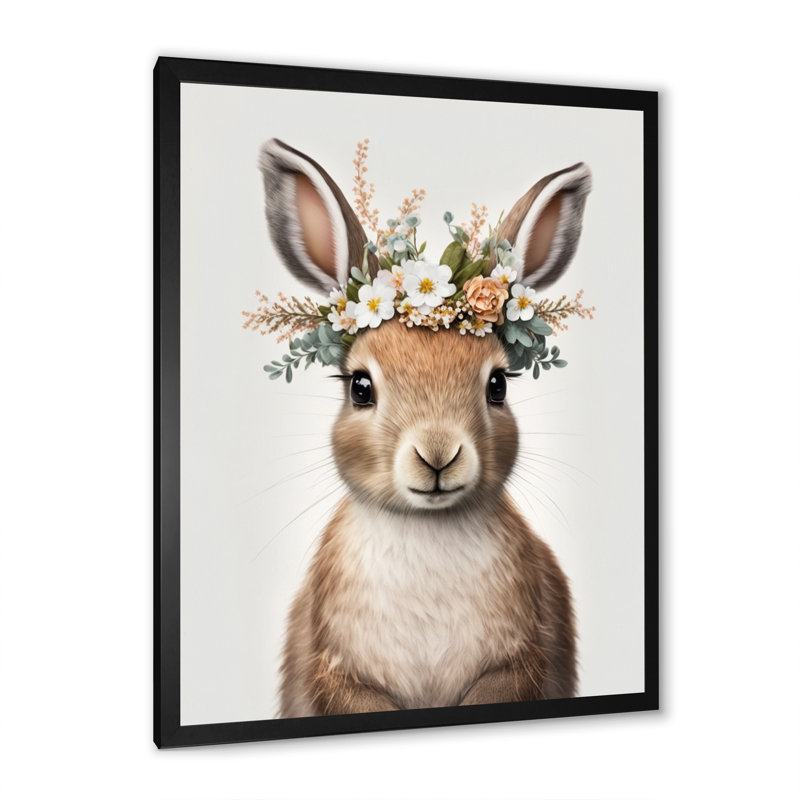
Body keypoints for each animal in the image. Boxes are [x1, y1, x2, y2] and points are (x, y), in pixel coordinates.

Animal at [259, 138, 591, 717]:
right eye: (360, 388)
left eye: (498, 385)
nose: (438, 454)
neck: (426, 528)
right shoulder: (339, 673)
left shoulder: (516, 663)